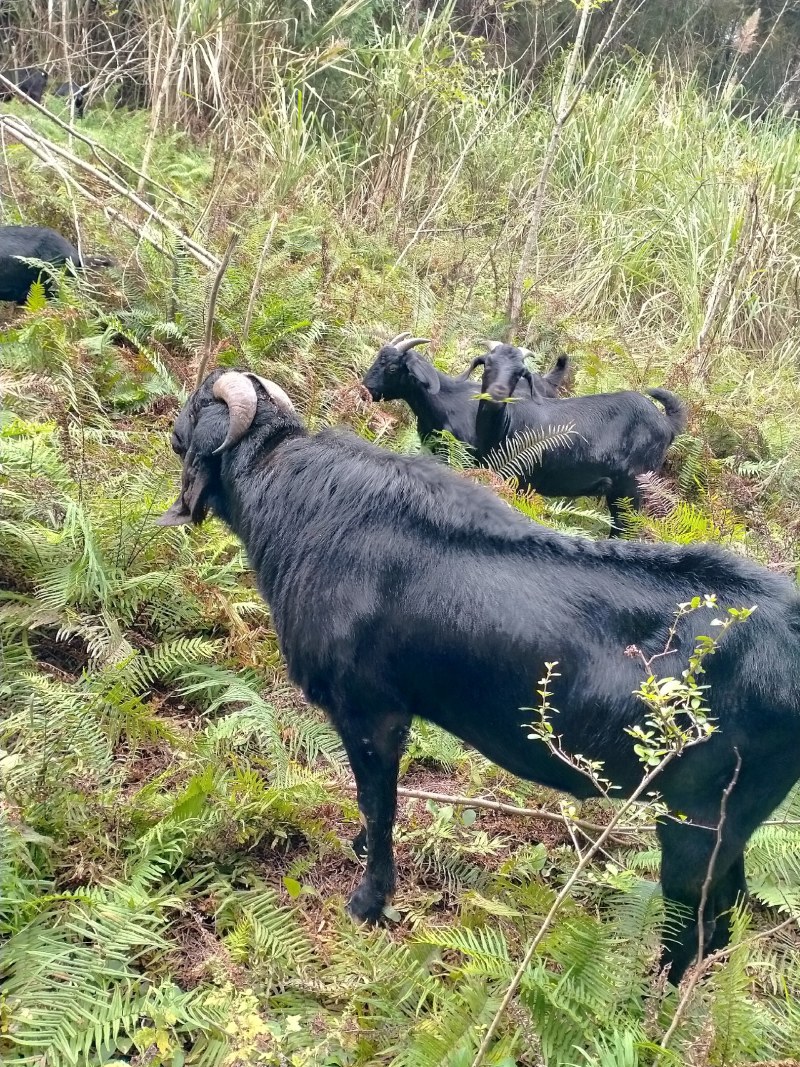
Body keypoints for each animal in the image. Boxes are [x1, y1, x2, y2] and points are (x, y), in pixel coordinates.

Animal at [156, 364, 800, 981]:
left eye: (198, 403)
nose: (172, 429)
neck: (297, 497)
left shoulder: (371, 711)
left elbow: (378, 803)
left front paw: (368, 902)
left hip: (699, 820)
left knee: (695, 925)